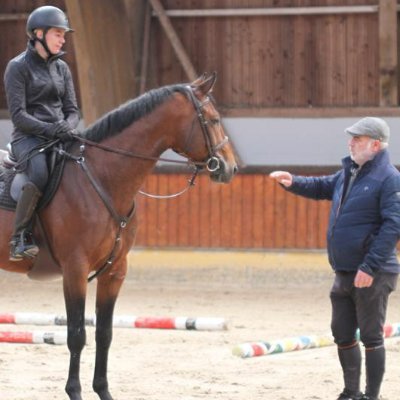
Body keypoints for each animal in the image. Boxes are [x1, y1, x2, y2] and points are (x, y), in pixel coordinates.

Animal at [0, 72, 238, 400]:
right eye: (213, 120)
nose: (230, 167)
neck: (102, 178)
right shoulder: (75, 270)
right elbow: (76, 334)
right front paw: (74, 391)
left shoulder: (114, 271)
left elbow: (104, 333)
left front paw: (103, 391)